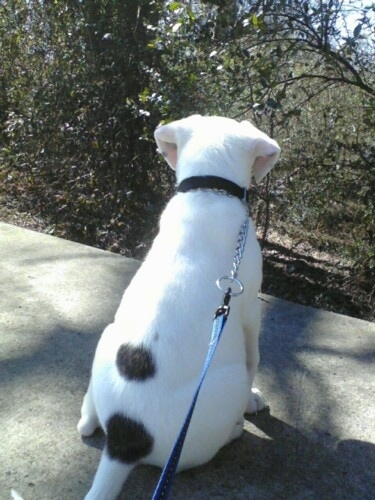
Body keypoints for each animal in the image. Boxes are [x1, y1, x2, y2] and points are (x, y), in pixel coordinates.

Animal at [78, 115, 280, 498]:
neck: (207, 193)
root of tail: (124, 443)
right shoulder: (249, 311)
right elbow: (256, 359)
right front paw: (252, 401)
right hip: (227, 381)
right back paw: (233, 431)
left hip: (107, 336)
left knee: (88, 417)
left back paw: (88, 417)